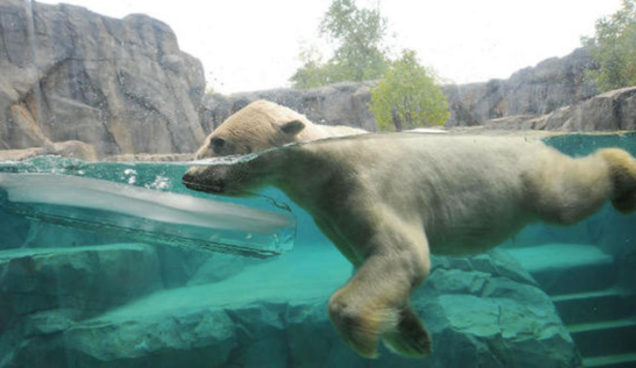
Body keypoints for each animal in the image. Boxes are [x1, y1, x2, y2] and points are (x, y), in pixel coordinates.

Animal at [181, 133, 636, 360]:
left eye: (218, 141)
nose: (187, 174)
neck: (319, 159)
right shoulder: (329, 212)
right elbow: (375, 265)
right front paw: (414, 337)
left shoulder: (365, 183)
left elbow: (404, 255)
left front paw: (364, 340)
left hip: (526, 174)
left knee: (566, 198)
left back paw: (622, 169)